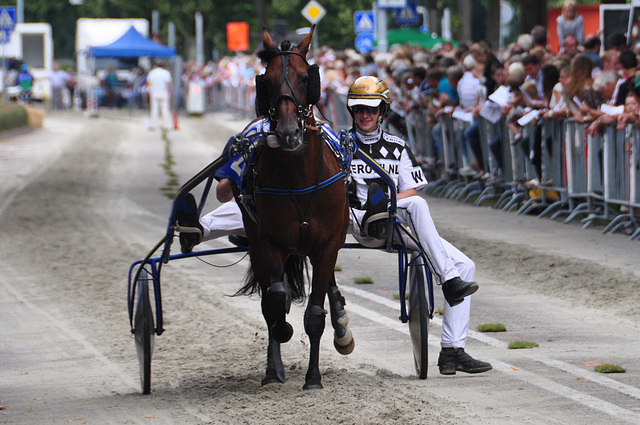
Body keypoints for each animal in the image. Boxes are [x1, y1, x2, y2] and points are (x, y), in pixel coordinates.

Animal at [235, 28, 352, 390]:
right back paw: (274, 368)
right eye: (267, 80)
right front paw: (282, 336)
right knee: (271, 299)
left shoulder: (327, 244)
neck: (300, 175)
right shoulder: (269, 242)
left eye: (305, 78)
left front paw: (313, 378)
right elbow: (275, 301)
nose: (288, 133)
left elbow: (315, 313)